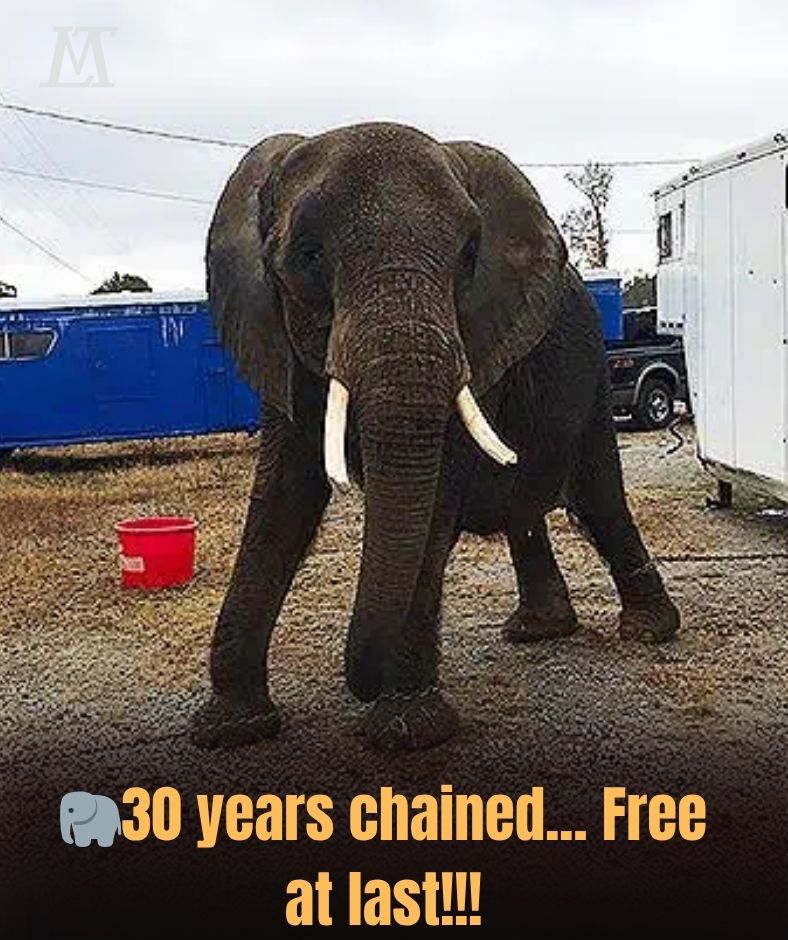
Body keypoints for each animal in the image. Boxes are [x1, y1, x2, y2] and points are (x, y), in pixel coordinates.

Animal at [191, 122, 680, 752]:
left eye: (470, 256)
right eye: (307, 255)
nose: (359, 685)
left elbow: (437, 495)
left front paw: (405, 733)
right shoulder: (277, 344)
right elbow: (281, 500)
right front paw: (230, 728)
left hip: (591, 374)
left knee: (599, 500)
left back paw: (646, 632)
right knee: (524, 512)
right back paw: (538, 631)